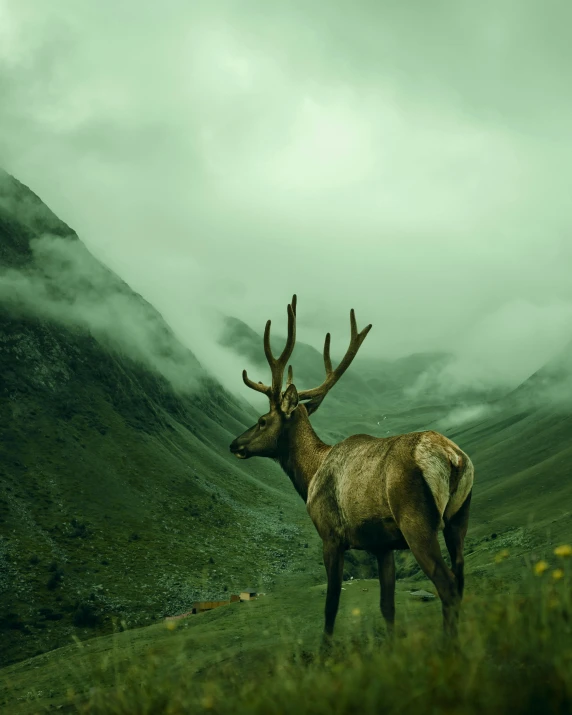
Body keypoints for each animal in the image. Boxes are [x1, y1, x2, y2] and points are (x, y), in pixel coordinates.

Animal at [229, 296, 474, 648]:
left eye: (262, 420)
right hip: (459, 518)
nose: (235, 443)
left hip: (417, 521)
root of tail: (453, 458)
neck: (310, 474)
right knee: (461, 579)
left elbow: (331, 605)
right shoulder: (383, 546)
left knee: (448, 587)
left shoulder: (331, 536)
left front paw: (324, 650)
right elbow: (387, 605)